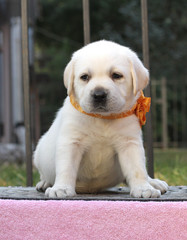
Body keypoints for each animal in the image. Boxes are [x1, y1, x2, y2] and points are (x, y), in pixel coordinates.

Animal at [33, 40, 168, 199]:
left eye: (116, 75)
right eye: (84, 77)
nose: (99, 95)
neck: (102, 118)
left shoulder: (129, 143)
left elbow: (137, 169)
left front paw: (143, 188)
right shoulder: (71, 142)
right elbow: (66, 168)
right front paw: (61, 188)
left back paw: (153, 182)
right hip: (38, 154)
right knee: (44, 174)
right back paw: (45, 183)